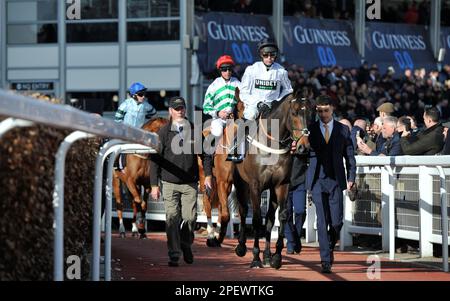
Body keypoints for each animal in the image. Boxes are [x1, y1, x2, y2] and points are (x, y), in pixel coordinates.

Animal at [232, 93, 310, 268]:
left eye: (310, 113)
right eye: (294, 113)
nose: (303, 147)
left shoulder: (281, 185)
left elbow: (281, 216)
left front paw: (276, 256)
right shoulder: (255, 186)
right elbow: (255, 219)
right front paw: (255, 257)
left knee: (269, 218)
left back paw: (267, 255)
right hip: (240, 183)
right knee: (243, 210)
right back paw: (241, 247)